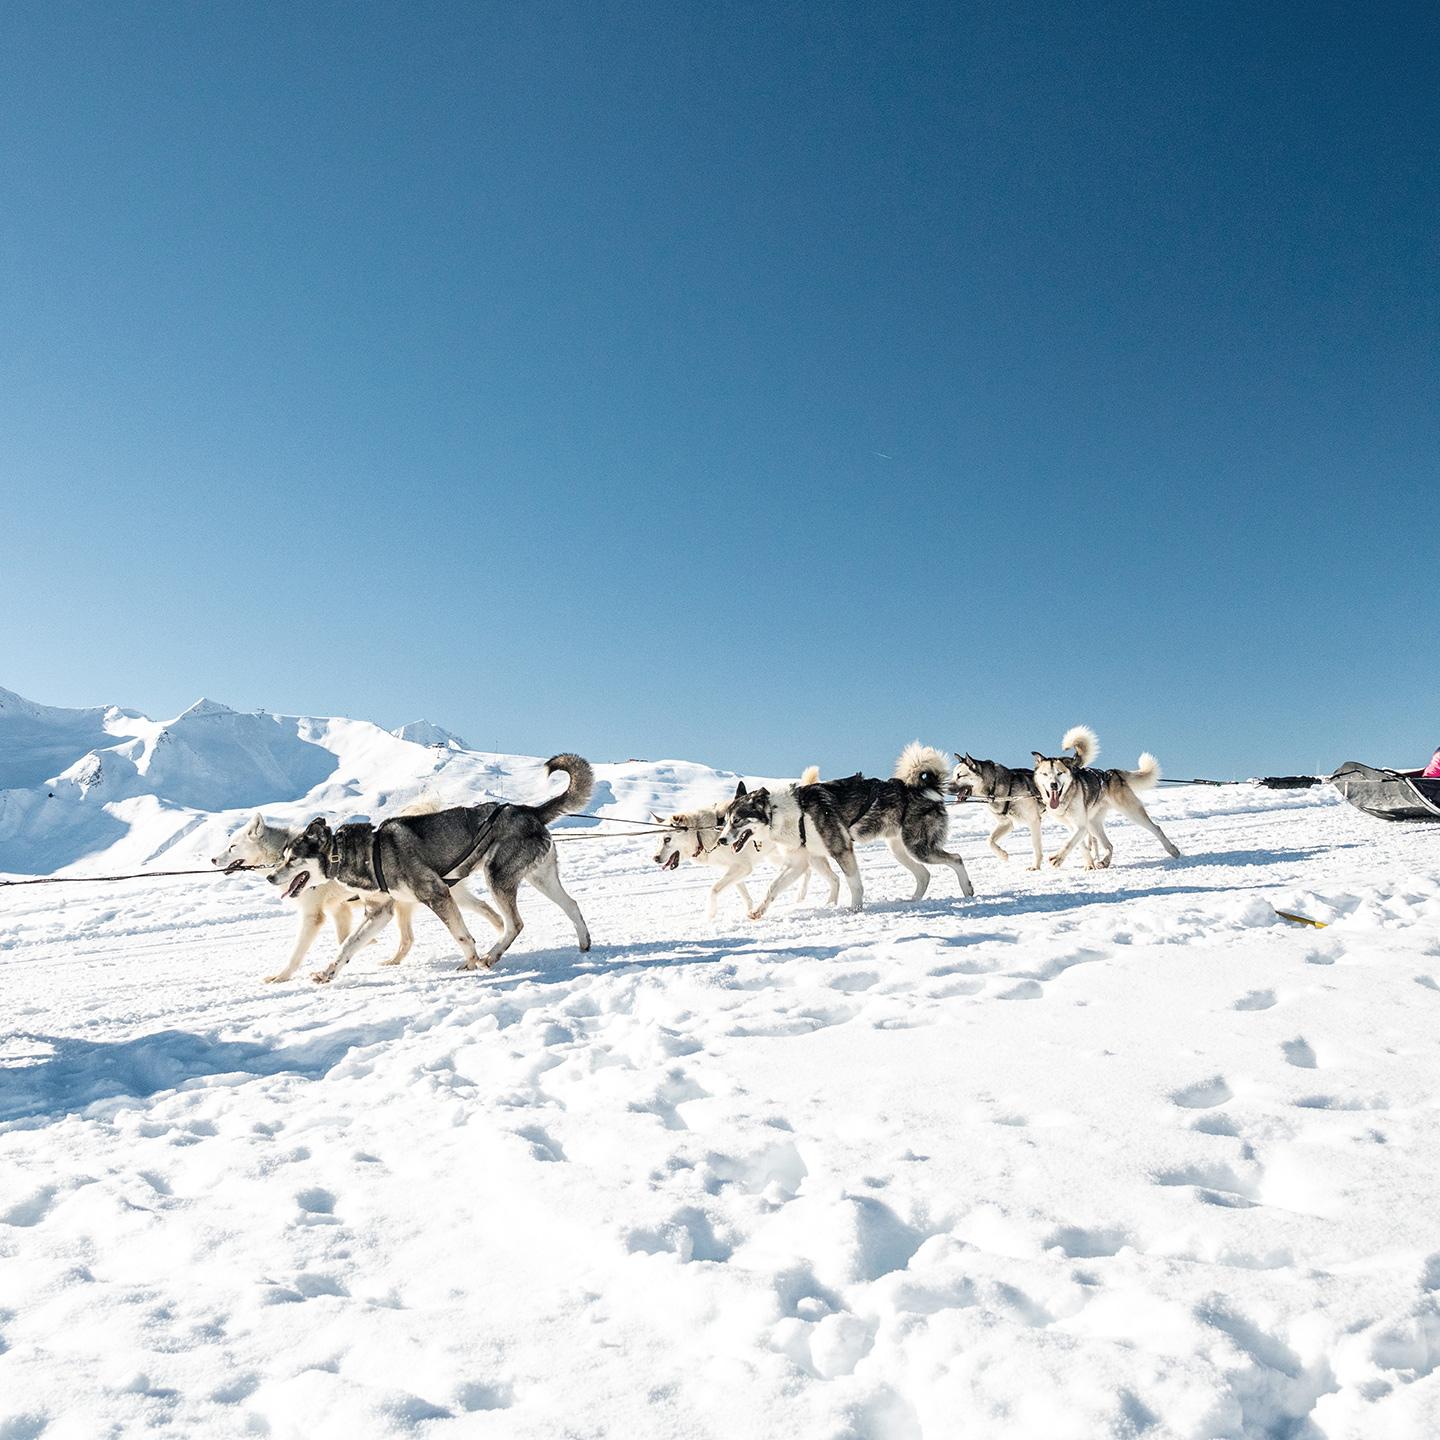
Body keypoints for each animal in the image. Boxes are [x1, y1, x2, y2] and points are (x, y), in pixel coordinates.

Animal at [264, 754, 590, 979]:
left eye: (291, 859)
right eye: (282, 856)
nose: (269, 877)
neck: (366, 852)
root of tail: (530, 810)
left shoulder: (436, 895)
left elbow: (462, 935)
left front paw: (472, 960)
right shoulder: (380, 912)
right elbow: (348, 946)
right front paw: (327, 973)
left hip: (497, 877)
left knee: (515, 924)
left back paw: (491, 956)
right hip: (540, 878)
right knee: (572, 905)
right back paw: (585, 943)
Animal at [648, 766, 840, 921]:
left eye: (667, 839)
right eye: (658, 840)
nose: (655, 858)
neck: (701, 834)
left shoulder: (741, 867)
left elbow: (713, 890)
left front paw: (710, 915)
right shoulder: (736, 870)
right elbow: (744, 895)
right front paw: (749, 908)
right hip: (778, 857)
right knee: (812, 872)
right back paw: (802, 898)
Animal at [714, 743, 973, 910]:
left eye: (737, 820)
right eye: (724, 820)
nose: (721, 840)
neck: (787, 814)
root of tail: (922, 789)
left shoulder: (841, 850)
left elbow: (854, 884)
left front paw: (855, 909)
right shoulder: (800, 862)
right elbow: (773, 887)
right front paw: (757, 912)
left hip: (918, 847)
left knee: (957, 858)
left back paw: (968, 890)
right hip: (900, 849)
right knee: (924, 874)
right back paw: (913, 901)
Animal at [1036, 731, 1180, 864]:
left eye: (1059, 773)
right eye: (1045, 774)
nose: (1053, 785)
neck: (1065, 799)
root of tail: (1112, 772)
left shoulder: (1081, 826)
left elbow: (1069, 842)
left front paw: (1057, 858)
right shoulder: (1072, 826)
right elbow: (1078, 844)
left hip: (1131, 812)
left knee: (1156, 828)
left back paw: (1172, 850)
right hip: (1093, 824)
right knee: (1109, 845)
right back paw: (1104, 861)